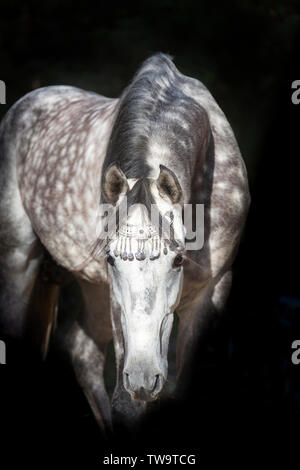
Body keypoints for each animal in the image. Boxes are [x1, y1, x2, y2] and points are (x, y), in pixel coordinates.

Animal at [0, 54, 250, 430]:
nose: (144, 377)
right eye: (111, 259)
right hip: (18, 260)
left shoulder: (211, 292)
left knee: (81, 350)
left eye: (178, 260)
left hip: (90, 287)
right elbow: (127, 407)